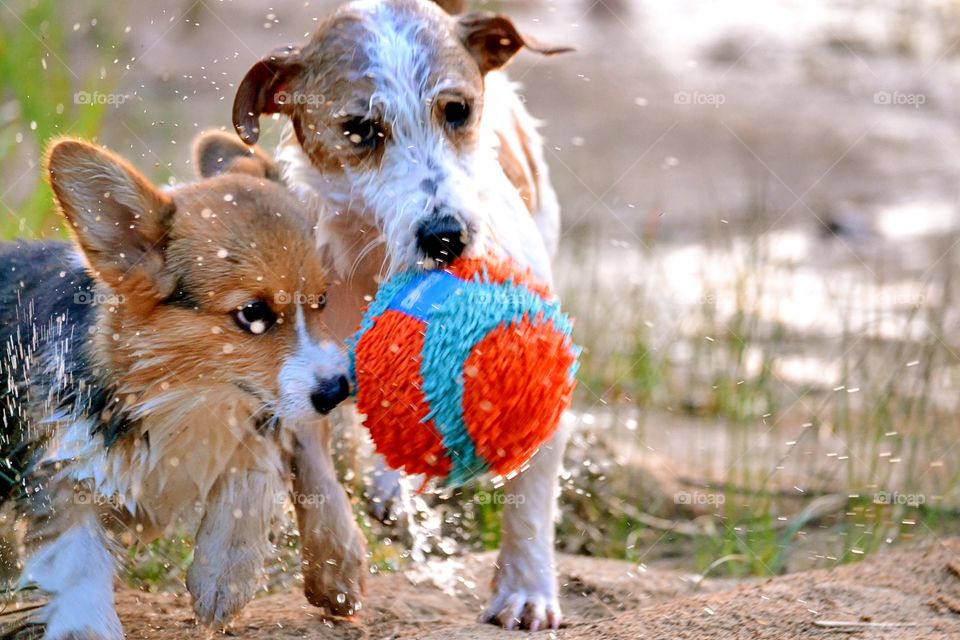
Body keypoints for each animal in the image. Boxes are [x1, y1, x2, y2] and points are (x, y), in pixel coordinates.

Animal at [0, 132, 360, 636]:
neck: (186, 393)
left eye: (322, 300)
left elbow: (253, 471)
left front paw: (223, 574)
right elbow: (79, 571)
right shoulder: (60, 474)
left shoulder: (259, 413)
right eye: (252, 314)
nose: (337, 392)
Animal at [233, 0, 572, 632]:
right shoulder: (295, 371)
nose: (445, 236)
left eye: (457, 110)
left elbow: (532, 498)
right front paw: (336, 570)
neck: (377, 264)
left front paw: (525, 591)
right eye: (360, 130)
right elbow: (313, 471)